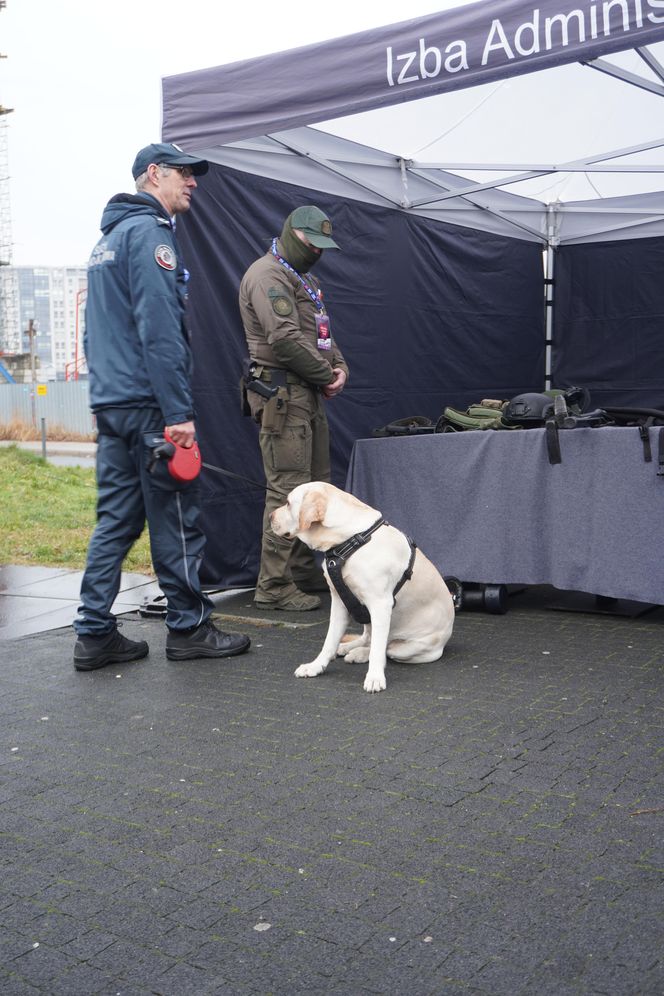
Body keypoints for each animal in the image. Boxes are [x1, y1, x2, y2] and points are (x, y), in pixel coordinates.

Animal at [268, 482, 452, 692]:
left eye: (288, 503)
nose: (270, 517)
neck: (349, 540)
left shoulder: (381, 605)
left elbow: (378, 651)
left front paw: (375, 677)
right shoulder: (339, 602)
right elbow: (329, 641)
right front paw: (316, 666)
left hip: (409, 648)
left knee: (385, 647)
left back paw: (359, 654)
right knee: (369, 639)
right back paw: (348, 648)